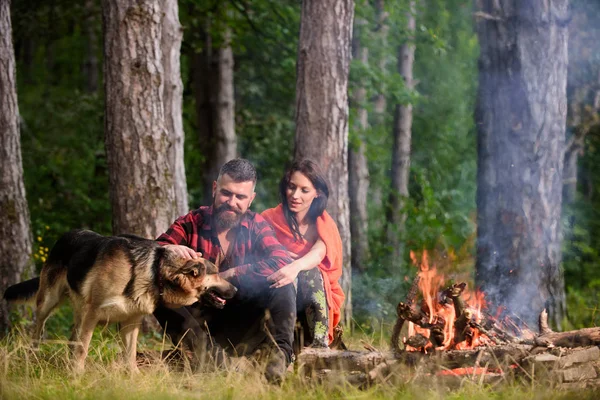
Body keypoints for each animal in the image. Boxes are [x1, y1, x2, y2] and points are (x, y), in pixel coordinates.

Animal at [2, 230, 237, 374]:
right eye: (216, 273)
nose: (235, 290)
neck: (155, 272)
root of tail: (68, 234)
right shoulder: (93, 314)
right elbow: (84, 348)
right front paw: (77, 374)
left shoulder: (131, 322)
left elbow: (130, 354)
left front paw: (133, 375)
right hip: (48, 301)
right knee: (39, 329)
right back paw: (34, 355)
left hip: (78, 310)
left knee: (72, 337)